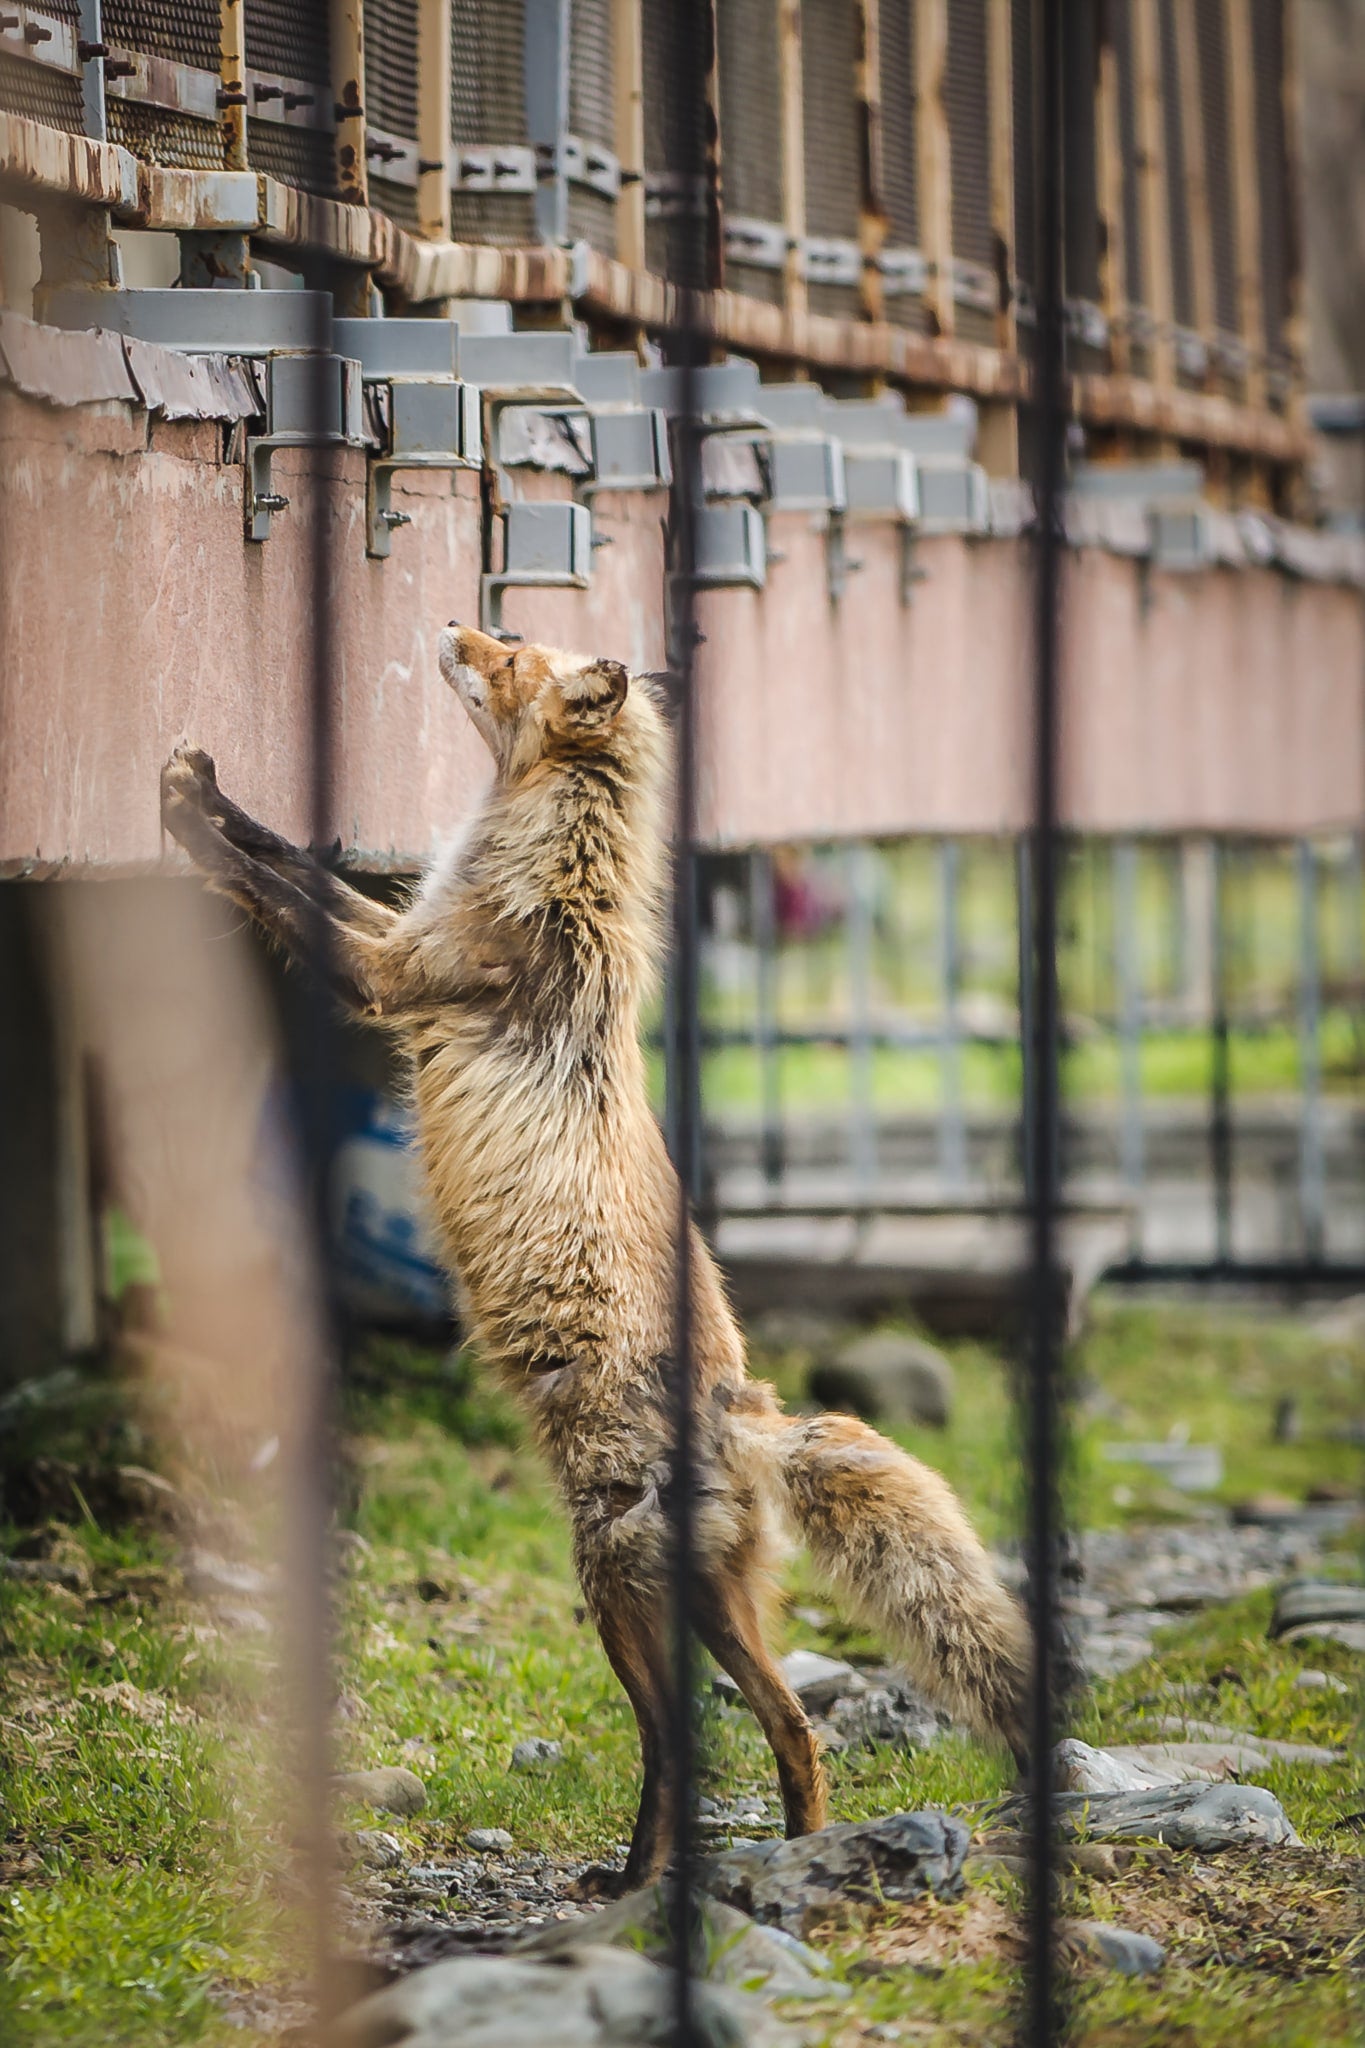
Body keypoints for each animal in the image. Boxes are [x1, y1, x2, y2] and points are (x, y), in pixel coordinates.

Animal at [160, 622, 1030, 1895]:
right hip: (707, 1602)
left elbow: (263, 881)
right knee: (791, 1727)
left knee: (677, 1740)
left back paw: (639, 1881)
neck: (559, 869)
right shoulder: (400, 938)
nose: (450, 621)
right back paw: (798, 1859)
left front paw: (187, 810)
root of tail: (745, 1411)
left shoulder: (391, 976)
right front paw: (212, 792)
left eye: (512, 653)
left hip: (613, 1584)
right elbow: (296, 865)